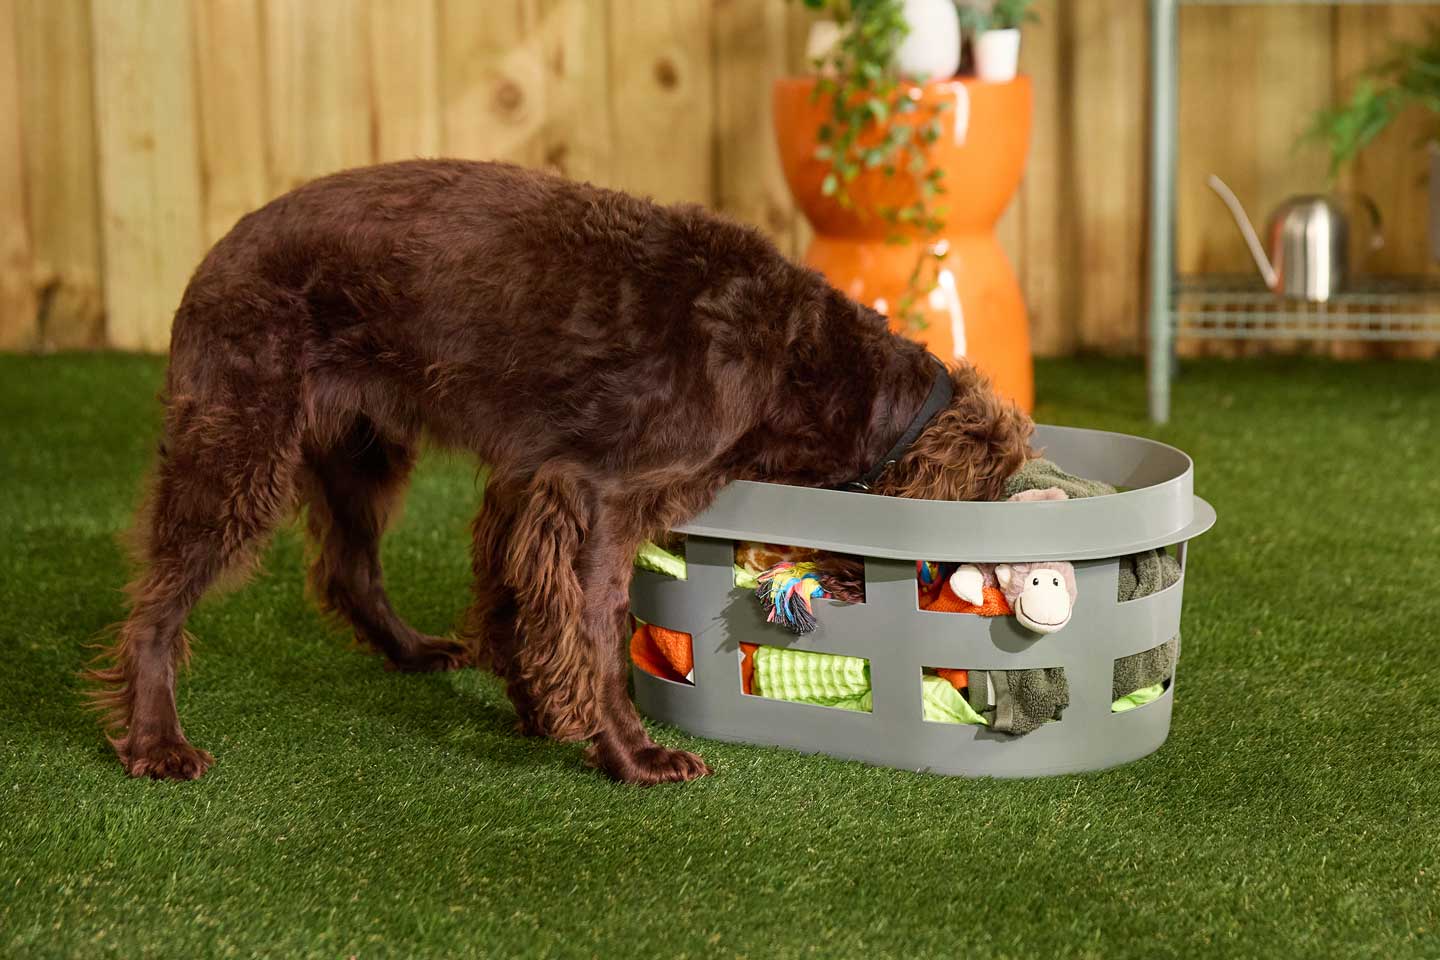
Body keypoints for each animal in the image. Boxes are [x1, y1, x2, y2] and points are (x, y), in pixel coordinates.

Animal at [90, 159, 1031, 788]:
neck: (809, 361)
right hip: (239, 449)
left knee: (350, 567)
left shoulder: (529, 481)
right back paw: (155, 741)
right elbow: (595, 632)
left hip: (360, 446)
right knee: (156, 601)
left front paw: (539, 712)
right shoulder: (598, 494)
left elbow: (521, 609)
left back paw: (413, 651)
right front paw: (632, 755)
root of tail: (217, 248)